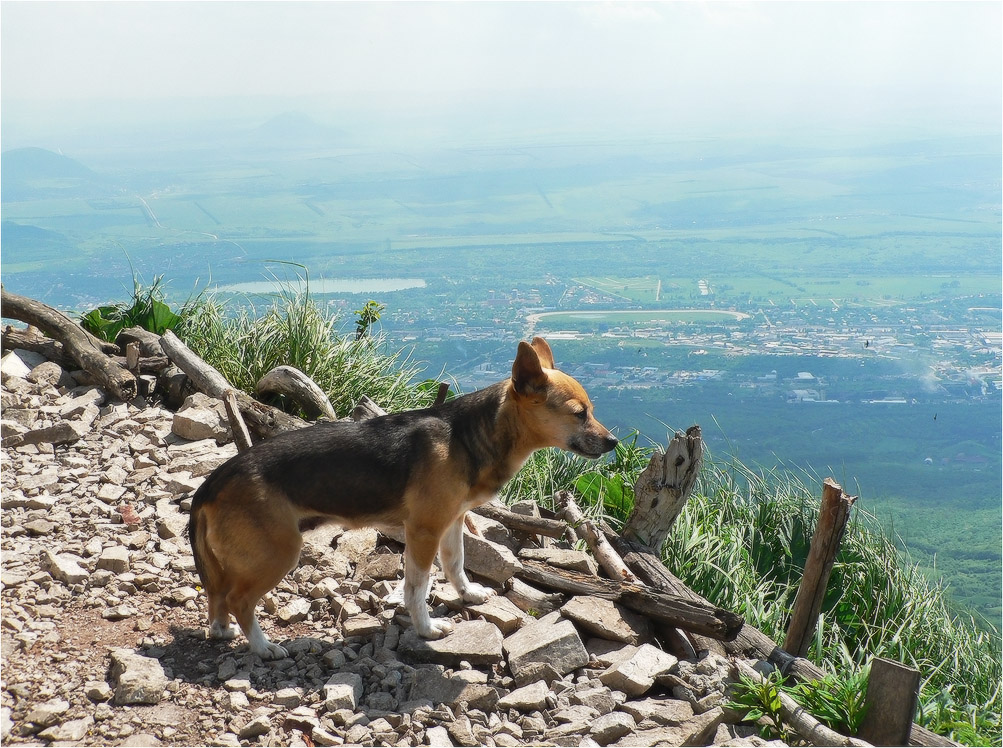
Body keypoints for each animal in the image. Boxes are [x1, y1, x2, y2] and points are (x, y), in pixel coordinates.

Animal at [184, 334, 613, 653]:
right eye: (579, 413)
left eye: (592, 409)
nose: (612, 443)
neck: (469, 436)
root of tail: (214, 480)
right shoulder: (423, 531)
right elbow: (417, 586)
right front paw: (426, 629)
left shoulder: (453, 522)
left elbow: (456, 564)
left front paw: (468, 594)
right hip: (278, 551)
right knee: (238, 599)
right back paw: (262, 647)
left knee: (218, 594)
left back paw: (222, 631)